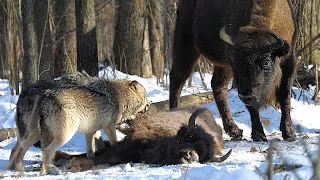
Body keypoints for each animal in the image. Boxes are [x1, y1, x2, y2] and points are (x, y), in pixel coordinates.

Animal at [53, 107, 231, 172]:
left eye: (203, 157)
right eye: (190, 136)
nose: (190, 155)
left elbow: (101, 157)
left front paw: (74, 163)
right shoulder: (127, 146)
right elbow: (102, 156)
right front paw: (73, 163)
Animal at [171, 0, 296, 142]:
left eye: (266, 62)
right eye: (238, 64)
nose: (245, 96)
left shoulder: (289, 59)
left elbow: (284, 94)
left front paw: (289, 132)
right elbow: (252, 106)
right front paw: (259, 135)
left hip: (221, 65)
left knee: (217, 86)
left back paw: (234, 131)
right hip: (186, 45)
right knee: (177, 79)